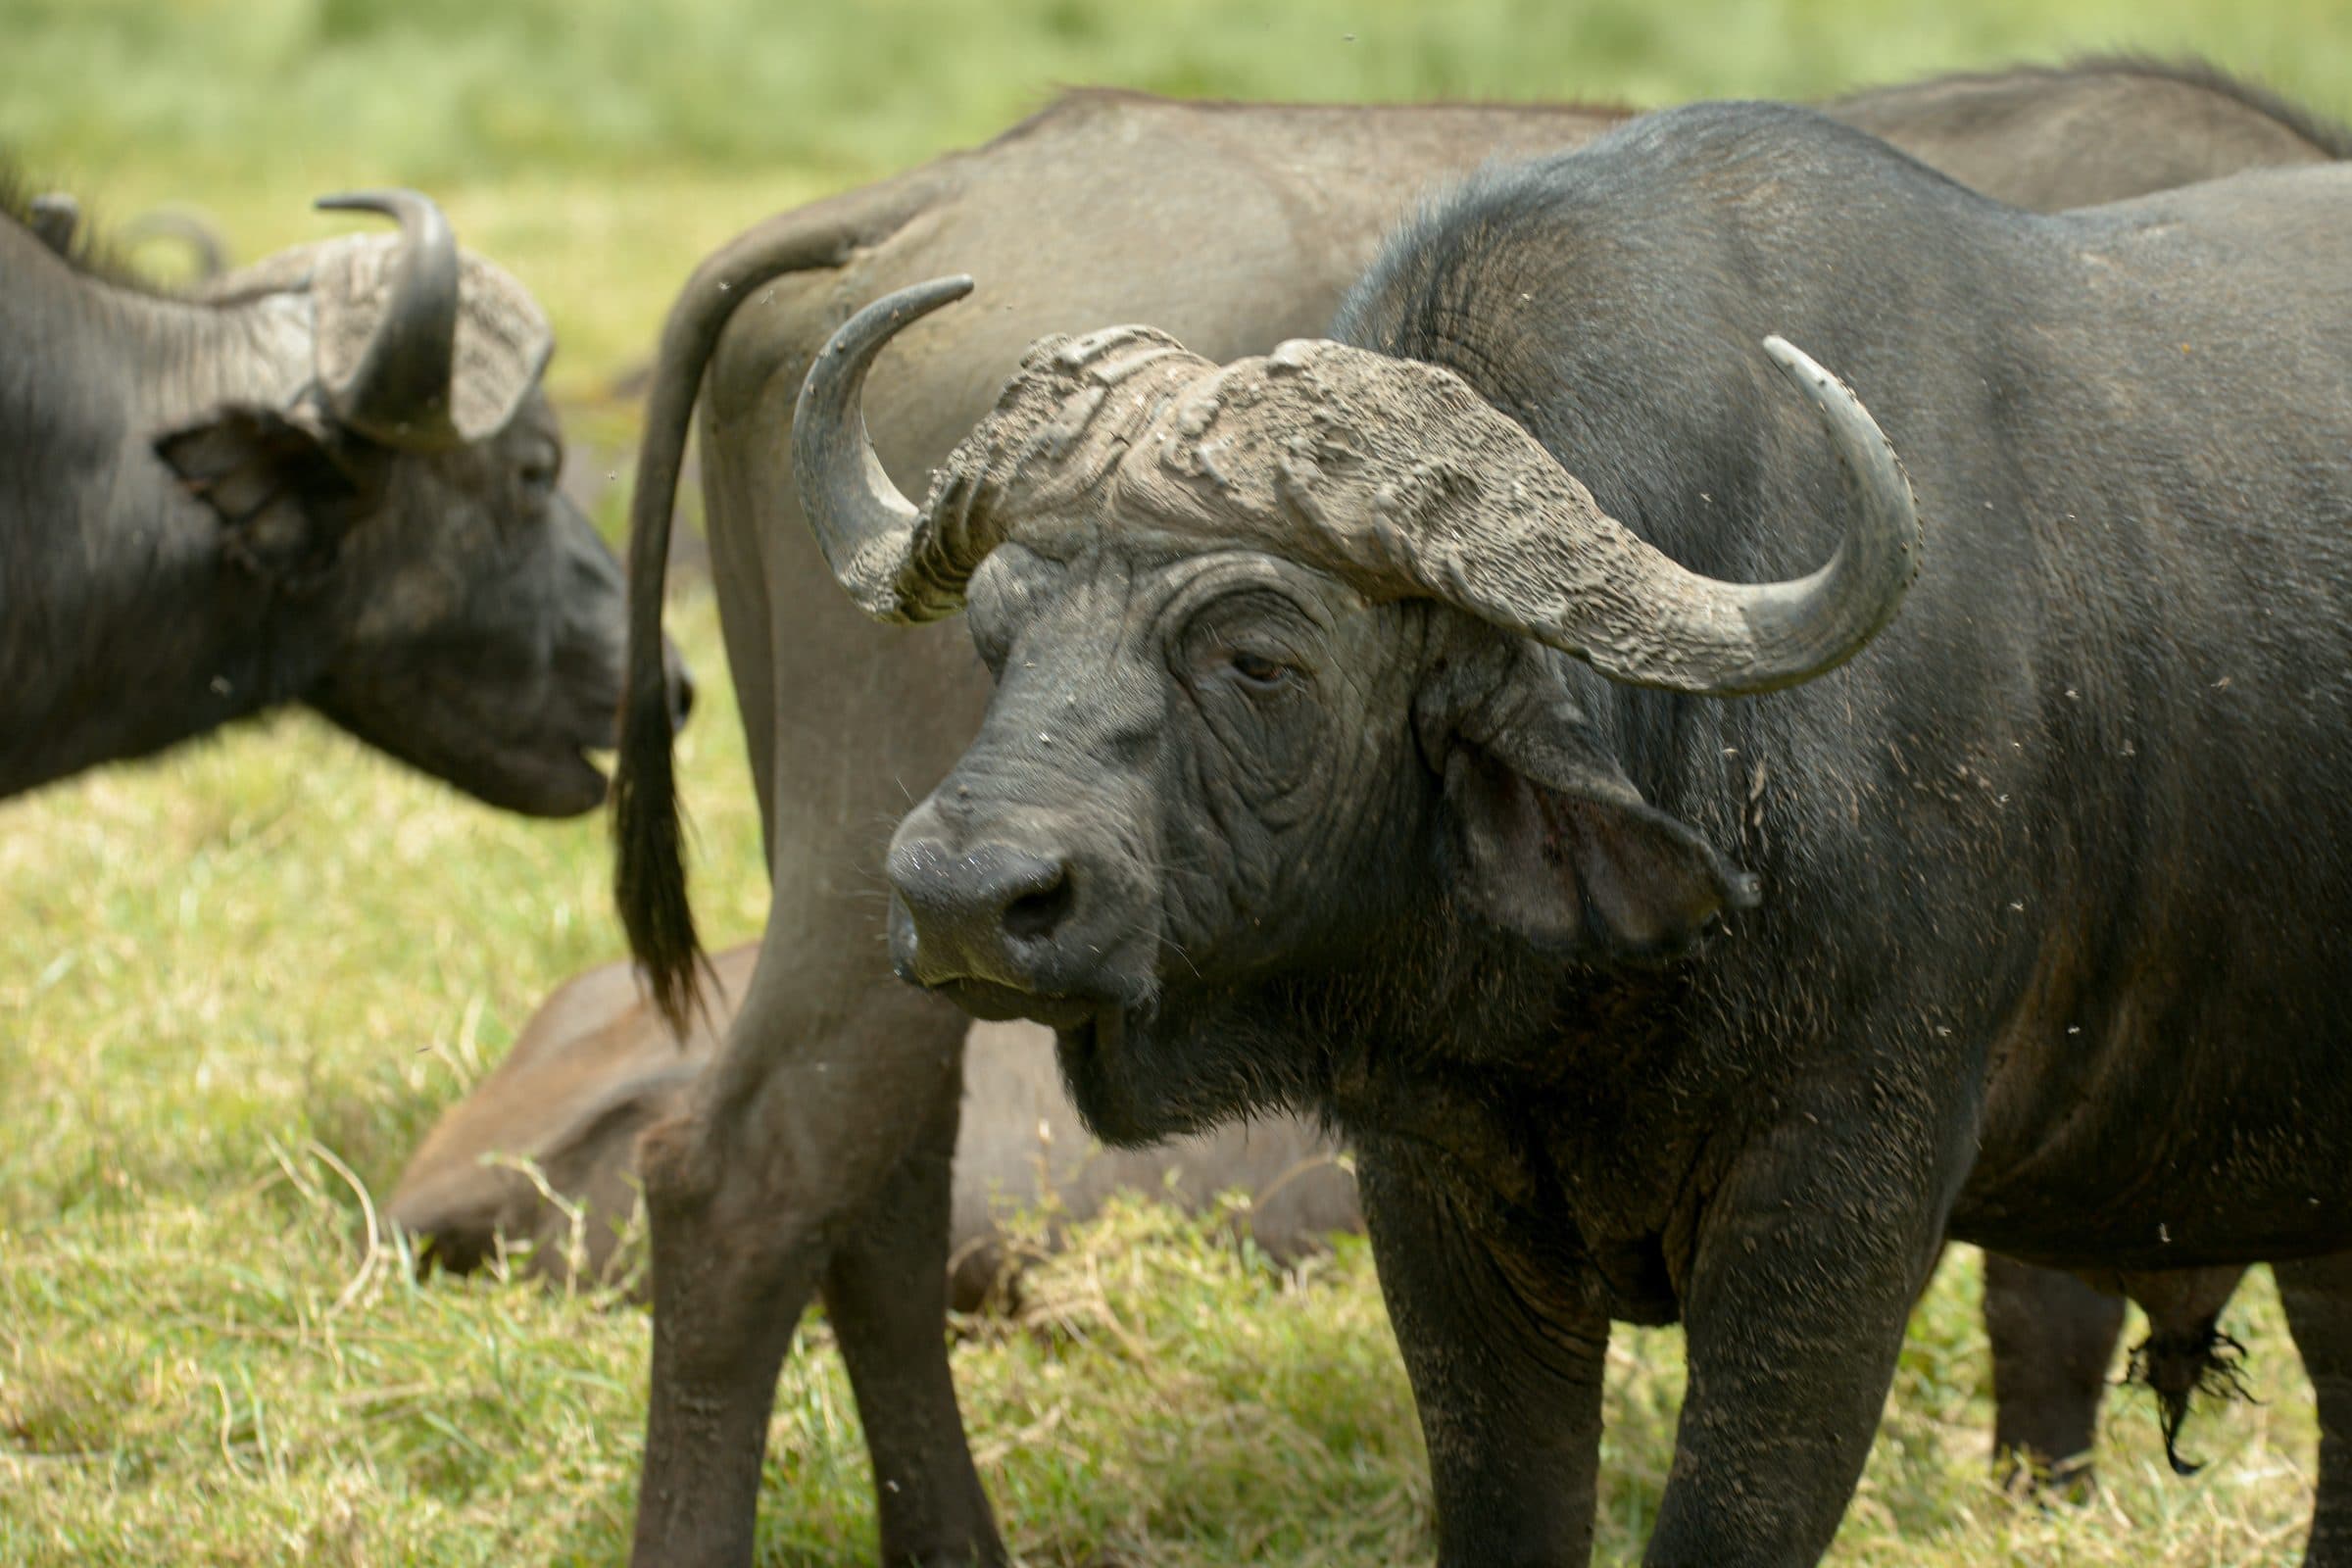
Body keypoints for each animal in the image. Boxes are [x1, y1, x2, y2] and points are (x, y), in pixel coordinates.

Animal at [611, 61, 2350, 1566]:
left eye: (1260, 654)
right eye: (997, 634)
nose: (971, 892)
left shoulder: (1842, 1193)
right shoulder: (1438, 1189)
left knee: (865, 1198)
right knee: (749, 1185)